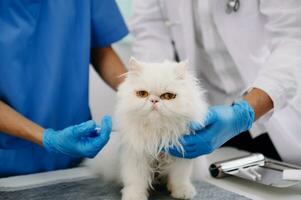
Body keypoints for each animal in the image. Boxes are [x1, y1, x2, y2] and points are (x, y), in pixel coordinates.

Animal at [85, 57, 207, 199]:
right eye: (142, 94)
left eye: (168, 96)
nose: (154, 100)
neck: (157, 134)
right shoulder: (135, 156)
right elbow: (135, 180)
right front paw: (134, 196)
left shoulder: (181, 156)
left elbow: (180, 177)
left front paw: (182, 192)